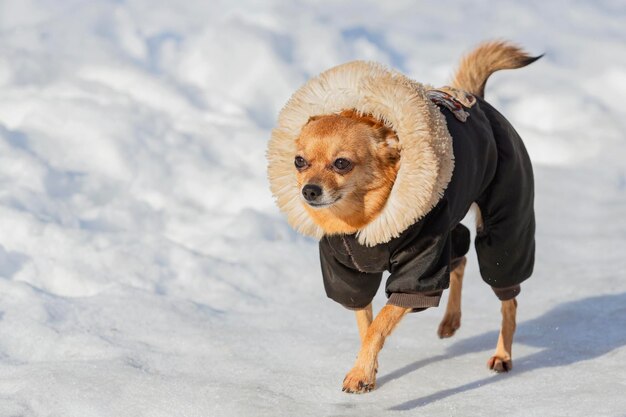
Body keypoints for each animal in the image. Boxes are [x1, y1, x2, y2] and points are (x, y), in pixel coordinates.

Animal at [266, 41, 540, 394]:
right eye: (299, 161)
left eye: (341, 164)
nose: (309, 190)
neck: (361, 222)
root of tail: (475, 98)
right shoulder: (350, 276)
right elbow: (366, 323)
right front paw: (368, 369)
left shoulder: (418, 270)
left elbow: (380, 323)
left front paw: (360, 372)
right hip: (451, 226)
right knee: (460, 256)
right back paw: (450, 321)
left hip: (503, 232)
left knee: (508, 298)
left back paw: (502, 355)